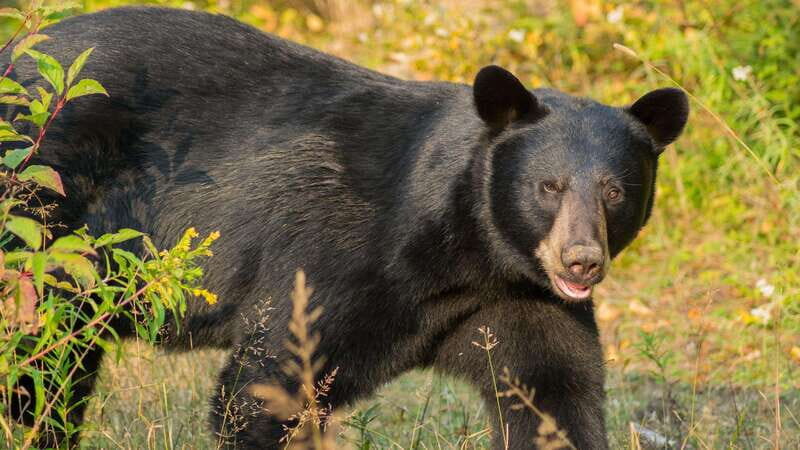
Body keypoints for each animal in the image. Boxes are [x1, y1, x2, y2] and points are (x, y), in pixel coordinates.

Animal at [4, 6, 688, 449]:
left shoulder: (518, 300)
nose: (581, 260)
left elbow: (553, 393)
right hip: (44, 205)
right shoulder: (338, 255)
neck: (468, 252)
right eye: (549, 186)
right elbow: (266, 385)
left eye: (615, 191)